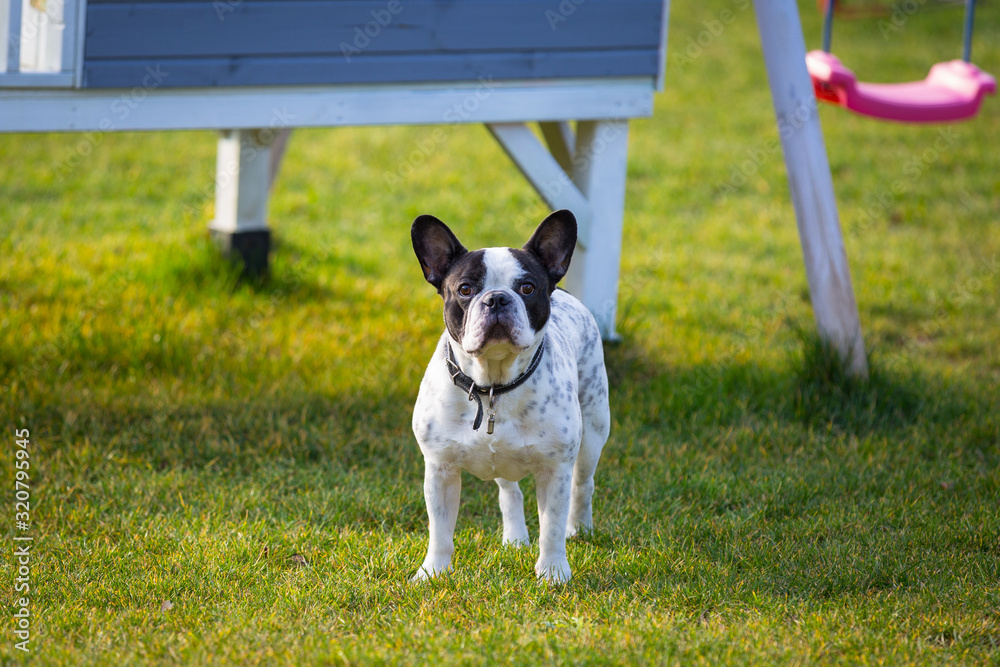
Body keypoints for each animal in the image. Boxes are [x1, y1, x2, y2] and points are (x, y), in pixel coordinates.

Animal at [408, 210, 608, 584]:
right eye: (465, 289)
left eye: (527, 288)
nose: (497, 298)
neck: (492, 386)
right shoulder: (440, 470)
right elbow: (440, 530)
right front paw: (433, 573)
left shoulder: (555, 470)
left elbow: (552, 527)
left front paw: (553, 572)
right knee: (509, 492)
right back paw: (515, 537)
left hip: (593, 432)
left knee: (583, 485)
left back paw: (580, 528)